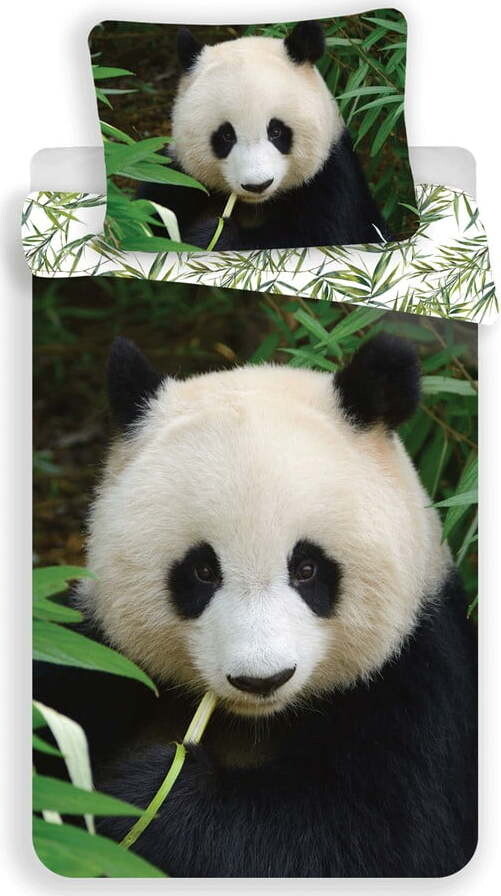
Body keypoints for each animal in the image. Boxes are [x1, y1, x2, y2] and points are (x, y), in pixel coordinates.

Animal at [35, 332, 477, 878]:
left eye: (306, 568)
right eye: (203, 571)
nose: (262, 679)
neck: (253, 720)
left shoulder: (420, 680)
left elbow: (370, 839)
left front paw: (147, 795)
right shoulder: (96, 651)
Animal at [138, 21, 392, 250]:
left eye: (276, 131)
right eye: (226, 136)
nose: (258, 185)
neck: (256, 205)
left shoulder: (332, 182)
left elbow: (314, 238)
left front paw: (214, 236)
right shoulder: (177, 178)